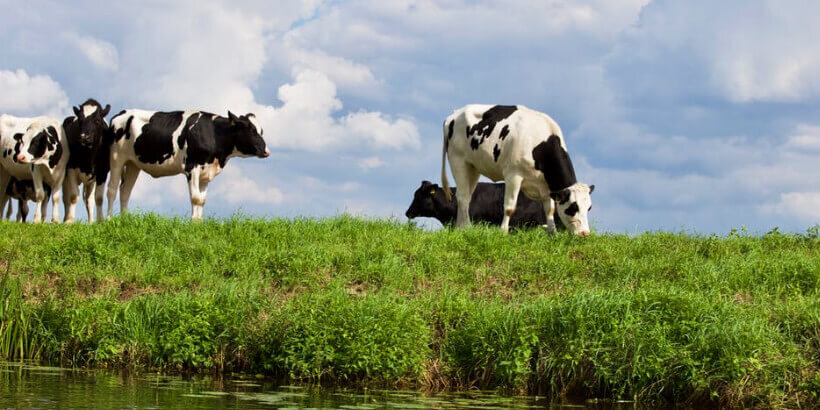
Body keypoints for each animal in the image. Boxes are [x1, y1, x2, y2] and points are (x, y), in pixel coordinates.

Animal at [100, 110, 270, 220]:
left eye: (261, 130)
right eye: (250, 130)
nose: (266, 151)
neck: (214, 133)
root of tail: (121, 114)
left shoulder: (206, 173)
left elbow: (202, 200)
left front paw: (199, 223)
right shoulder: (192, 167)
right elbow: (195, 198)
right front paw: (193, 223)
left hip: (132, 164)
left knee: (125, 191)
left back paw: (124, 220)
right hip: (117, 158)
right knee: (112, 190)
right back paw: (109, 220)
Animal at [441, 104, 594, 236]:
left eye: (589, 208)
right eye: (573, 208)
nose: (585, 234)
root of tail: (454, 114)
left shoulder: (545, 186)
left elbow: (549, 209)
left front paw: (553, 233)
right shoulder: (513, 175)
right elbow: (509, 207)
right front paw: (503, 231)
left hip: (473, 167)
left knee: (467, 196)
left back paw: (461, 227)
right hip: (458, 160)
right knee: (462, 196)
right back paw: (466, 227)